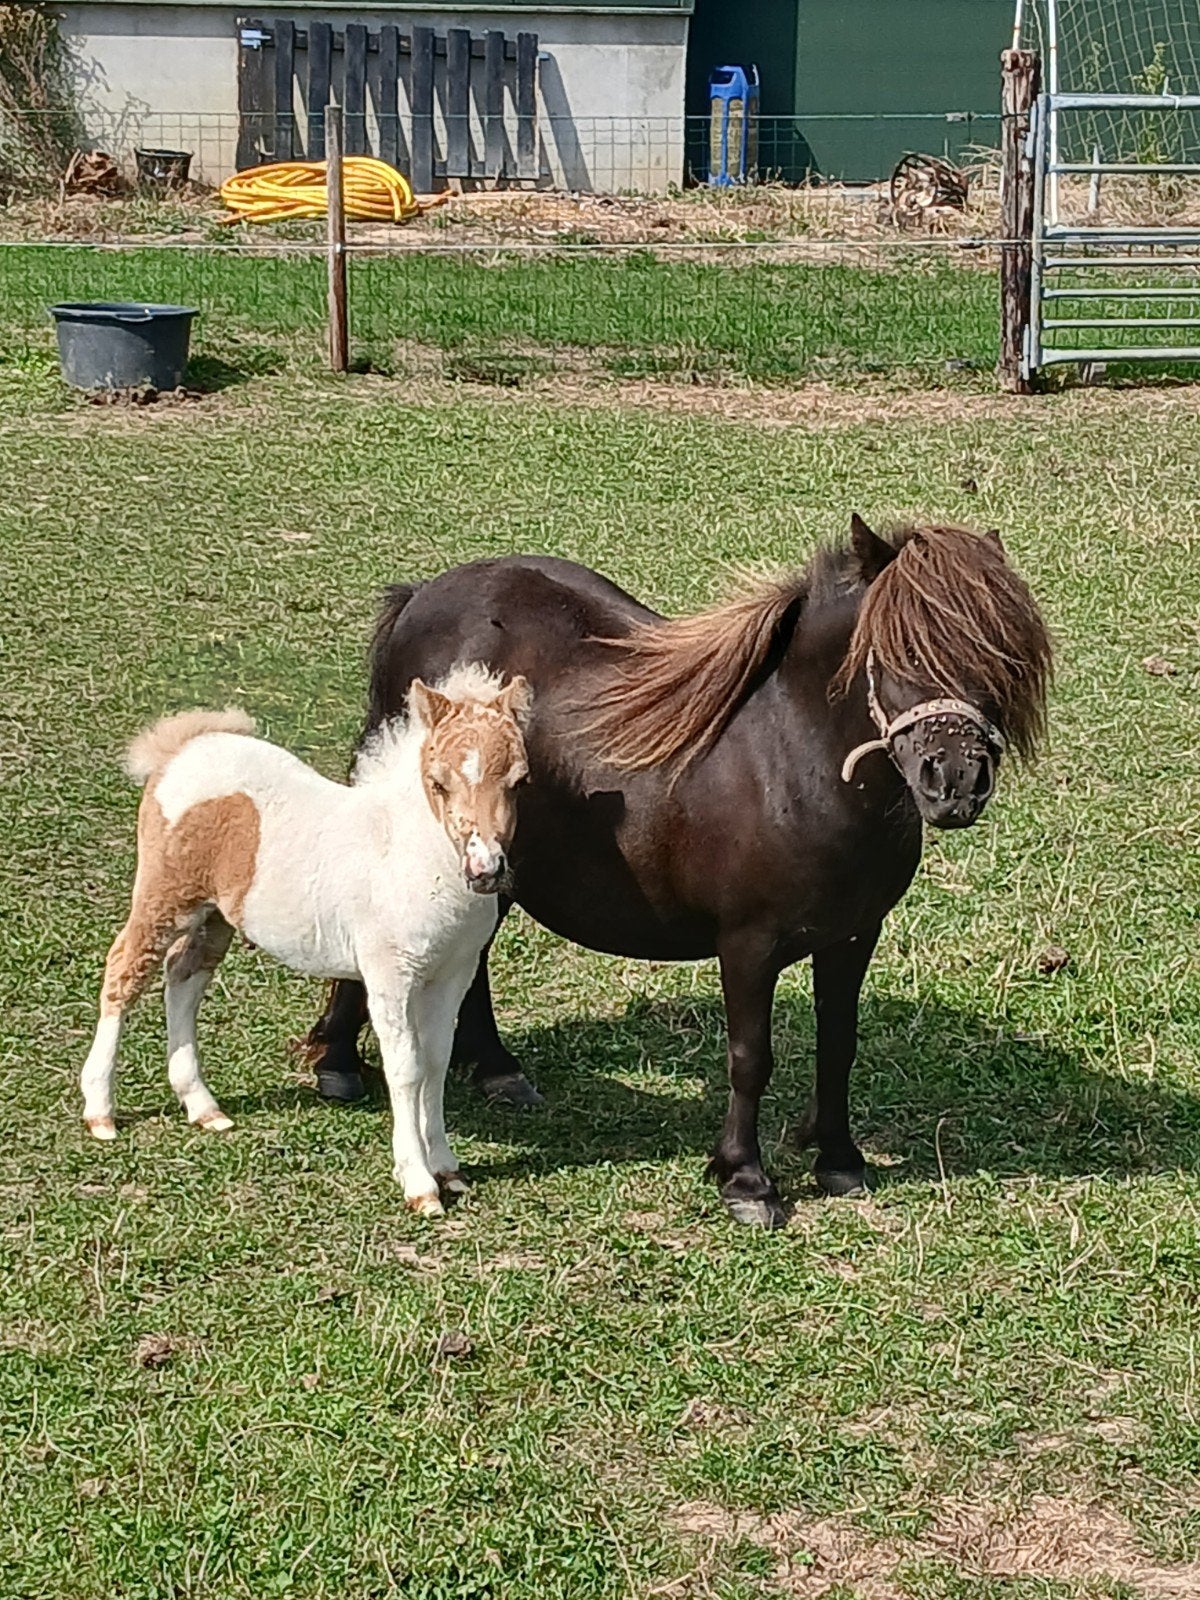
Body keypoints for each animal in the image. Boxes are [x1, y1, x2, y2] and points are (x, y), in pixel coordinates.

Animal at [79, 666, 532, 1216]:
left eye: (519, 781)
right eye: (438, 783)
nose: (484, 870)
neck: (410, 854)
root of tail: (185, 746)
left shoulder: (452, 974)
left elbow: (437, 1061)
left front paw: (447, 1167)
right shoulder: (390, 976)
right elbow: (406, 1068)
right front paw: (418, 1183)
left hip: (214, 916)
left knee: (182, 979)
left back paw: (202, 1105)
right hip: (164, 895)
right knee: (124, 972)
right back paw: (100, 1110)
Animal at [304, 517, 1051, 1227]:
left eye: (998, 655)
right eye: (897, 652)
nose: (954, 782)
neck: (789, 761)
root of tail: (419, 597)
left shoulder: (852, 936)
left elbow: (839, 1044)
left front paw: (839, 1159)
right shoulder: (748, 944)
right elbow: (750, 1058)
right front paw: (745, 1180)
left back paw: (496, 1069)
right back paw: (337, 1062)